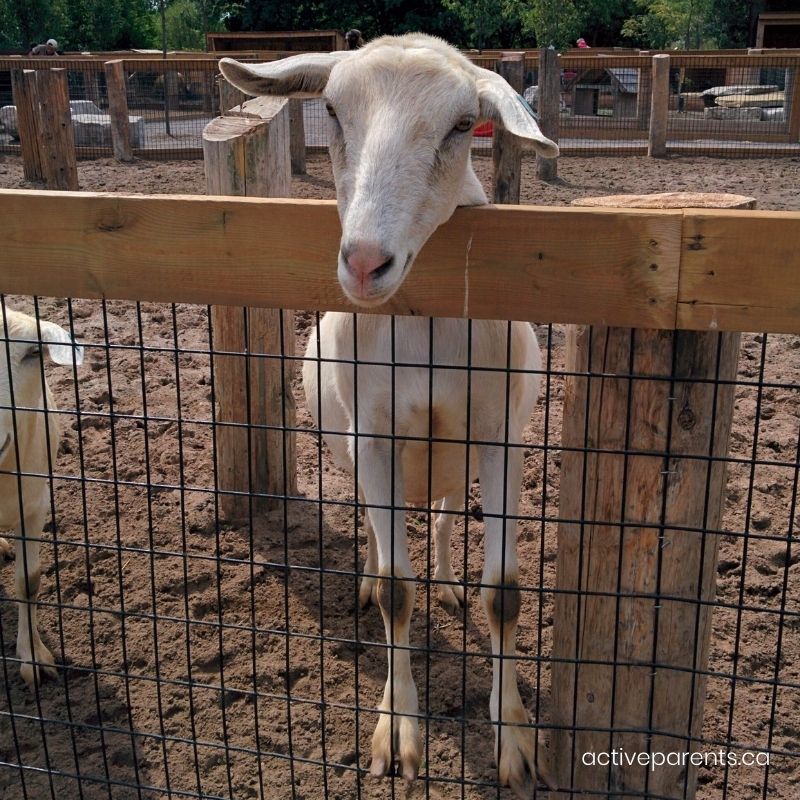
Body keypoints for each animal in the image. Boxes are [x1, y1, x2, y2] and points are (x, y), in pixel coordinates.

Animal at [219, 32, 556, 792]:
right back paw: (370, 578)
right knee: (381, 533)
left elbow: (504, 592)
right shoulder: (372, 436)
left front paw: (516, 741)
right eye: (332, 110)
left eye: (462, 125)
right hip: (358, 455)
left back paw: (449, 583)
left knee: (441, 515)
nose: (366, 262)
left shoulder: (500, 434)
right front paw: (398, 735)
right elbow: (401, 592)